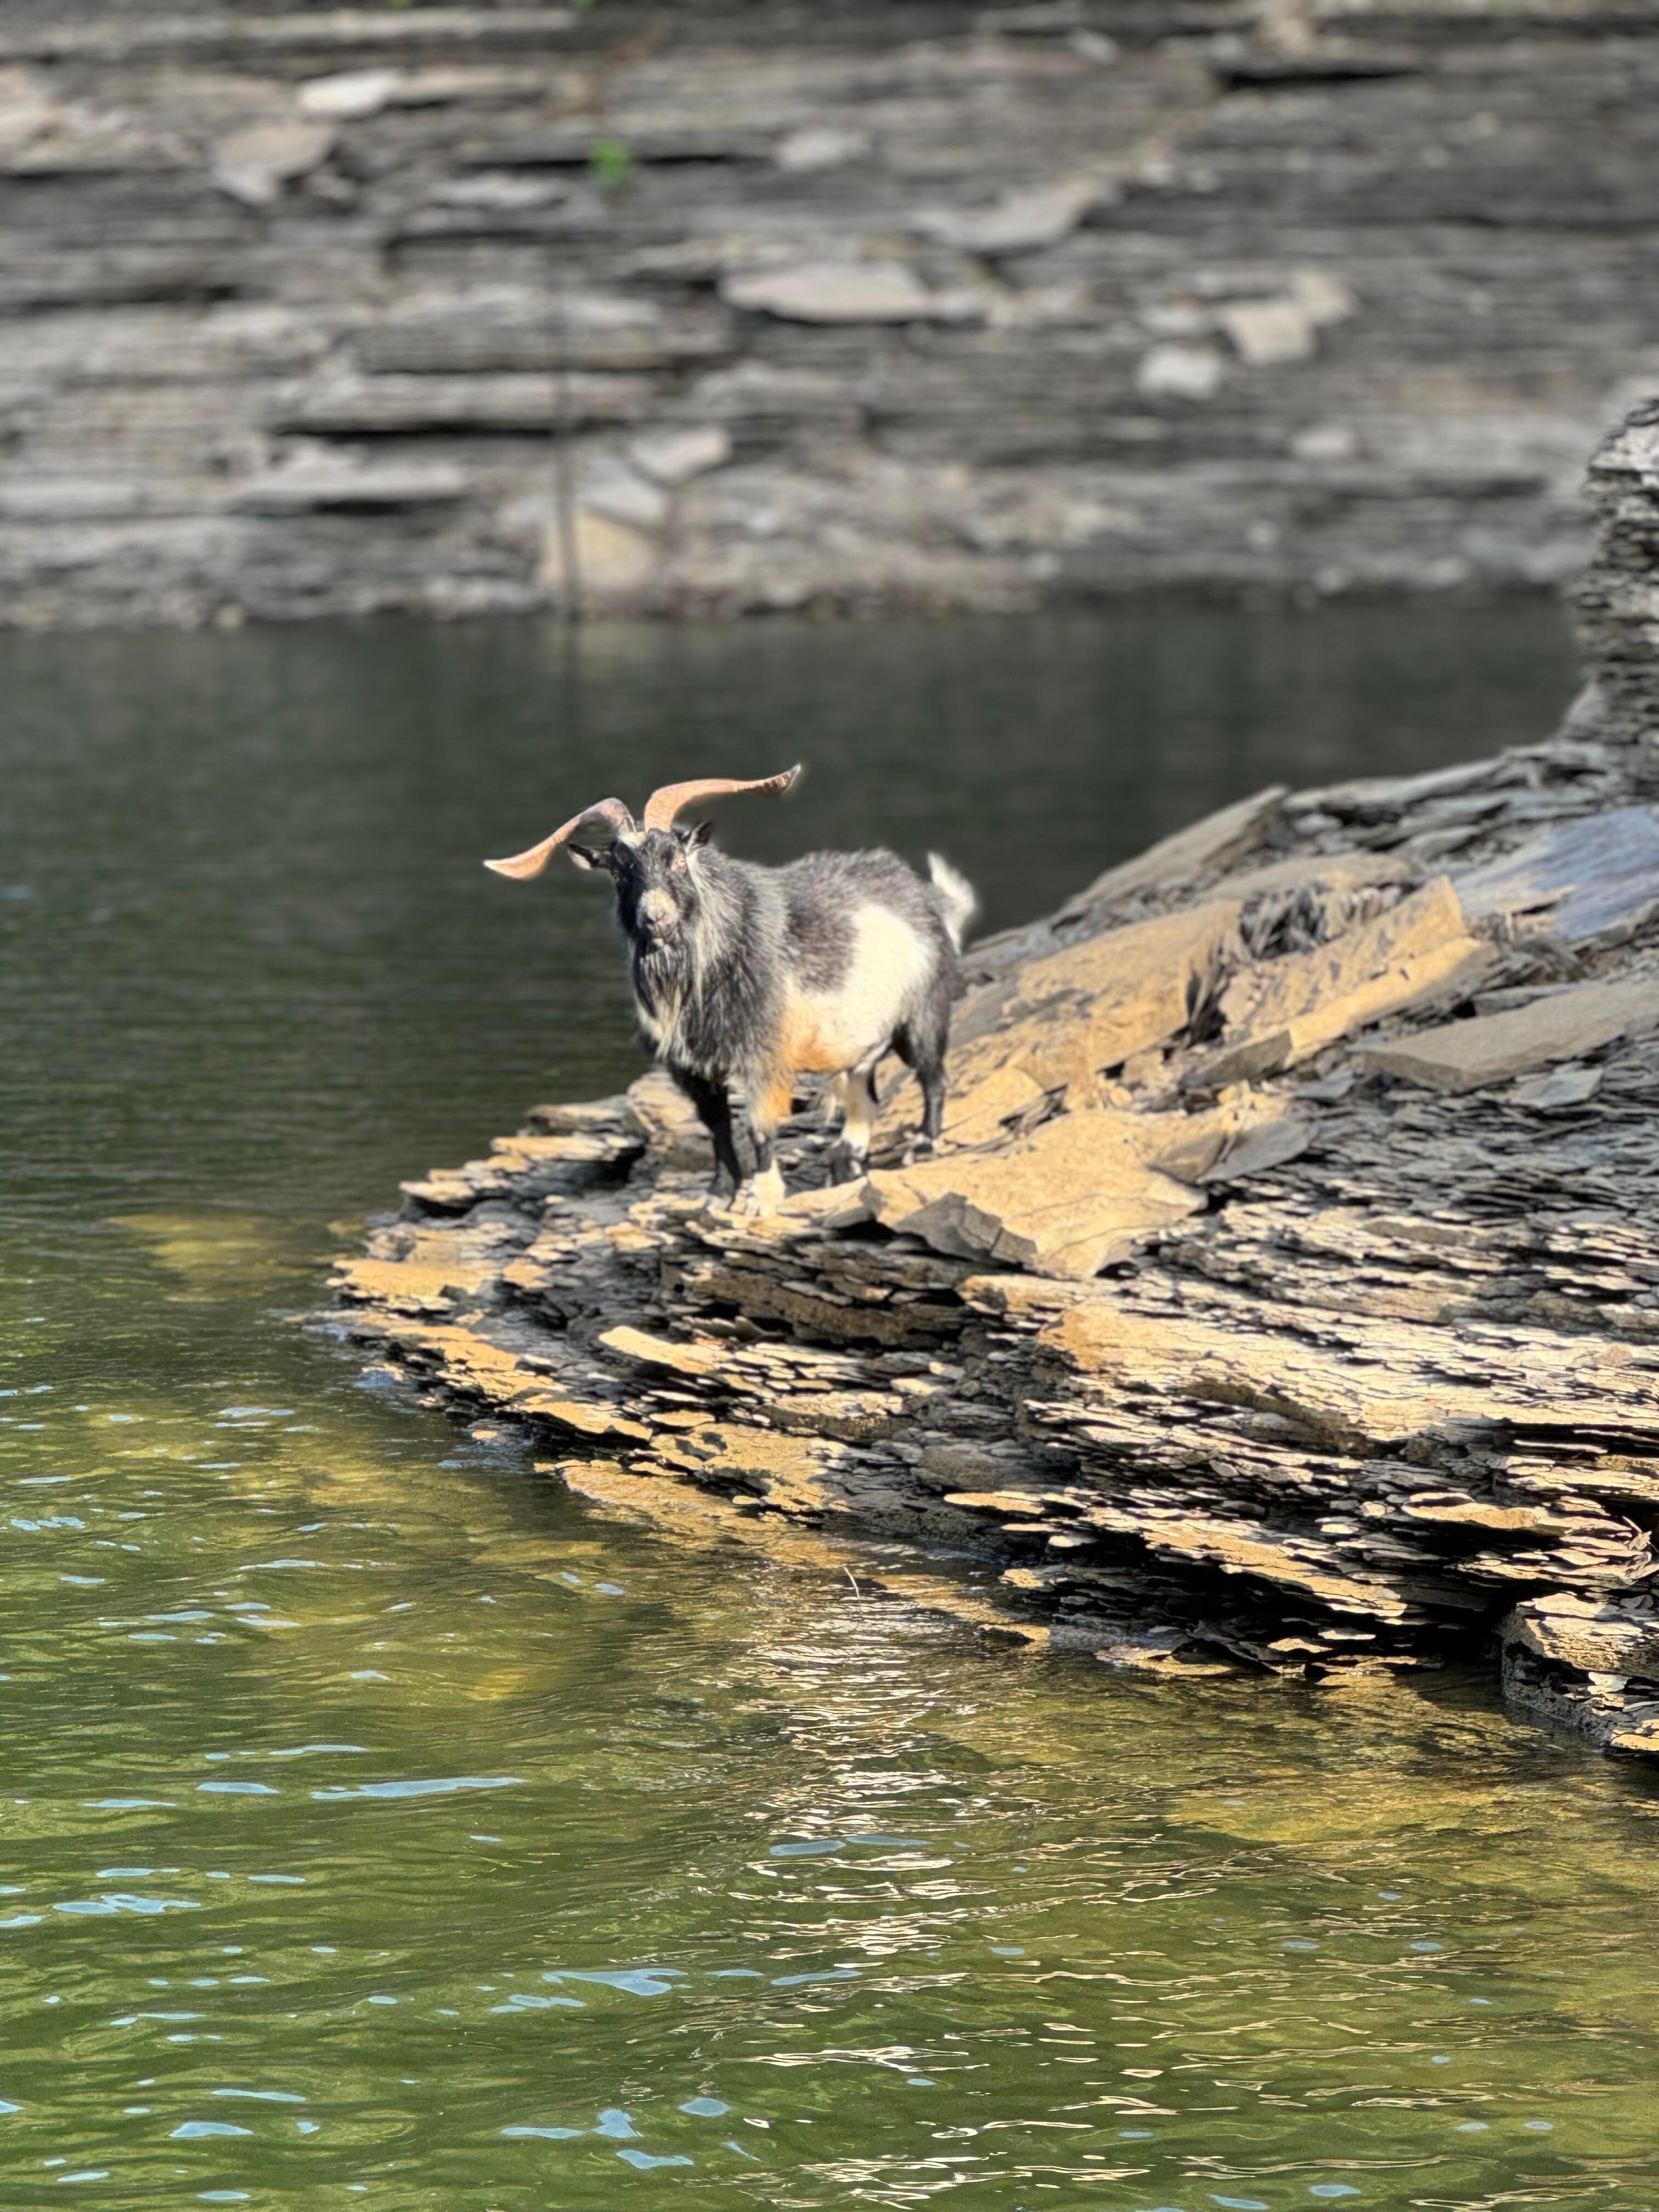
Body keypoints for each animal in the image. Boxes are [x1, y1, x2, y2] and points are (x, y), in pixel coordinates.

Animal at [485, 768, 976, 1212]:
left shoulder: (763, 1053)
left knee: (934, 1076)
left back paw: (922, 1146)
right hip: (859, 1041)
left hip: (922, 1013)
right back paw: (848, 1161)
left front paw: (762, 1197)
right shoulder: (693, 1068)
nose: (656, 918)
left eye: (678, 860)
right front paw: (719, 1193)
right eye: (619, 872)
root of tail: (932, 899)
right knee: (864, 1098)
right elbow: (717, 1127)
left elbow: (759, 1124)